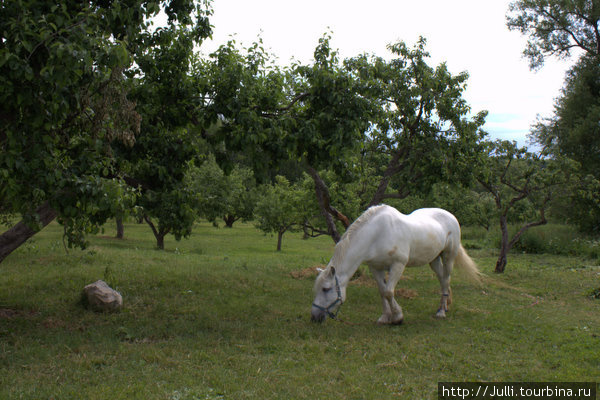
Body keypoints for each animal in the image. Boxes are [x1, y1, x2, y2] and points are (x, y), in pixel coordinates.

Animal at [312, 205, 480, 324]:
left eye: (326, 289)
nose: (314, 317)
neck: (378, 234)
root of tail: (450, 216)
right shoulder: (376, 267)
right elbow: (382, 291)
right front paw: (385, 317)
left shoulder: (398, 265)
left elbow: (388, 292)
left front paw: (398, 317)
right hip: (434, 260)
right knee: (443, 279)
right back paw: (446, 305)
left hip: (448, 256)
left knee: (446, 279)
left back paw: (441, 312)